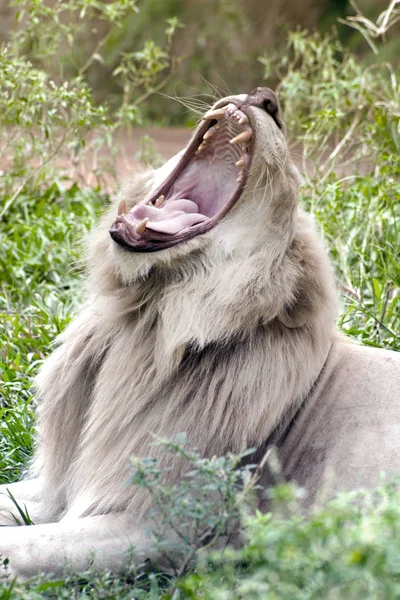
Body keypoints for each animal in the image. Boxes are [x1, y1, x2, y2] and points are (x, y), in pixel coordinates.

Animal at [0, 86, 400, 580]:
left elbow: (26, 545)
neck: (144, 317)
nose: (267, 99)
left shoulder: (167, 525)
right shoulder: (57, 489)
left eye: (288, 181)